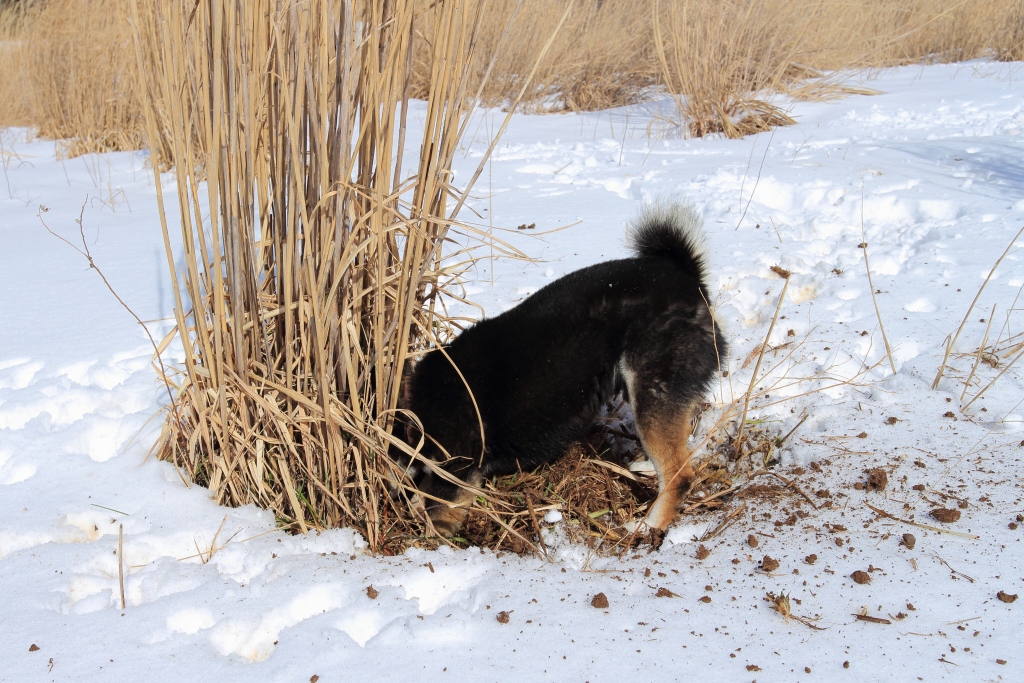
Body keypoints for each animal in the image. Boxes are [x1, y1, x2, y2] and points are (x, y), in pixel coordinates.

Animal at [395, 205, 724, 536]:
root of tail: (686, 276)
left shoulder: (457, 468)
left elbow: (436, 511)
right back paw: (645, 467)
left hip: (649, 390)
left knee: (679, 475)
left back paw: (646, 526)